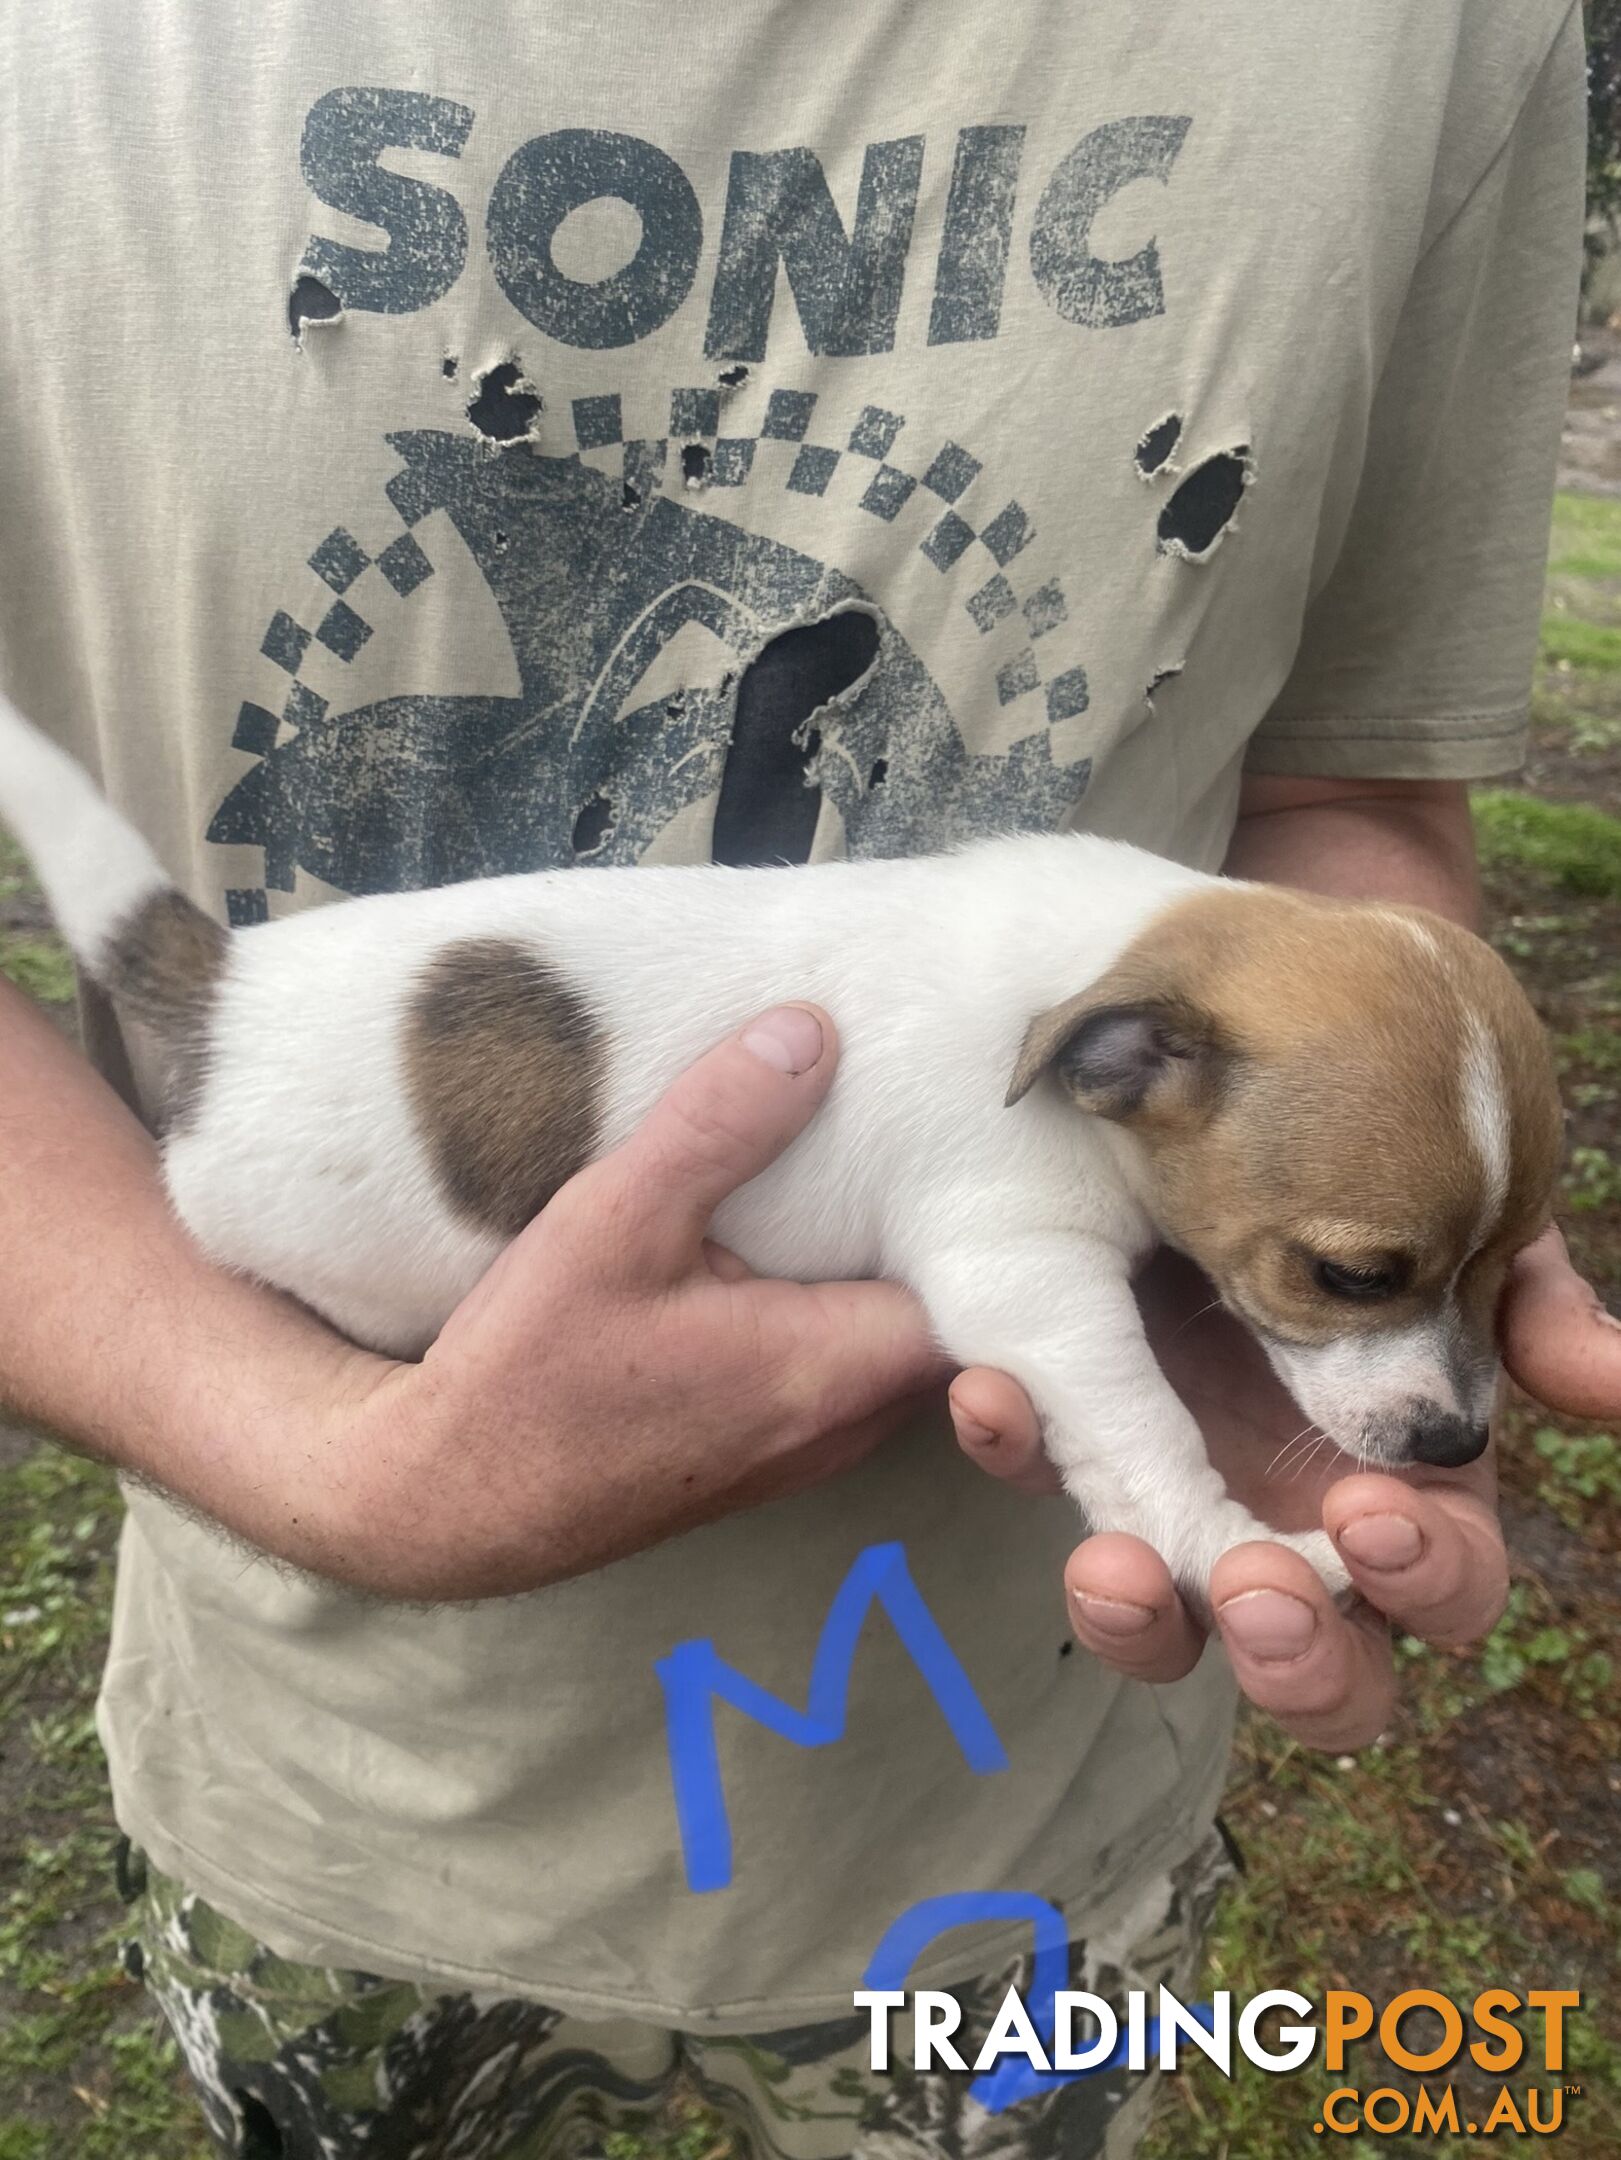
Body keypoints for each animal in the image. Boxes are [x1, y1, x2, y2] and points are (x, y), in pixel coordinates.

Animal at [3, 704, 1573, 1607]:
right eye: (1352, 1276)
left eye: (1504, 1268)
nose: (1456, 1444)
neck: (1089, 972)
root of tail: (229, 989)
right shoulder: (1025, 1275)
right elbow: (1145, 1430)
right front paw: (1231, 1549)